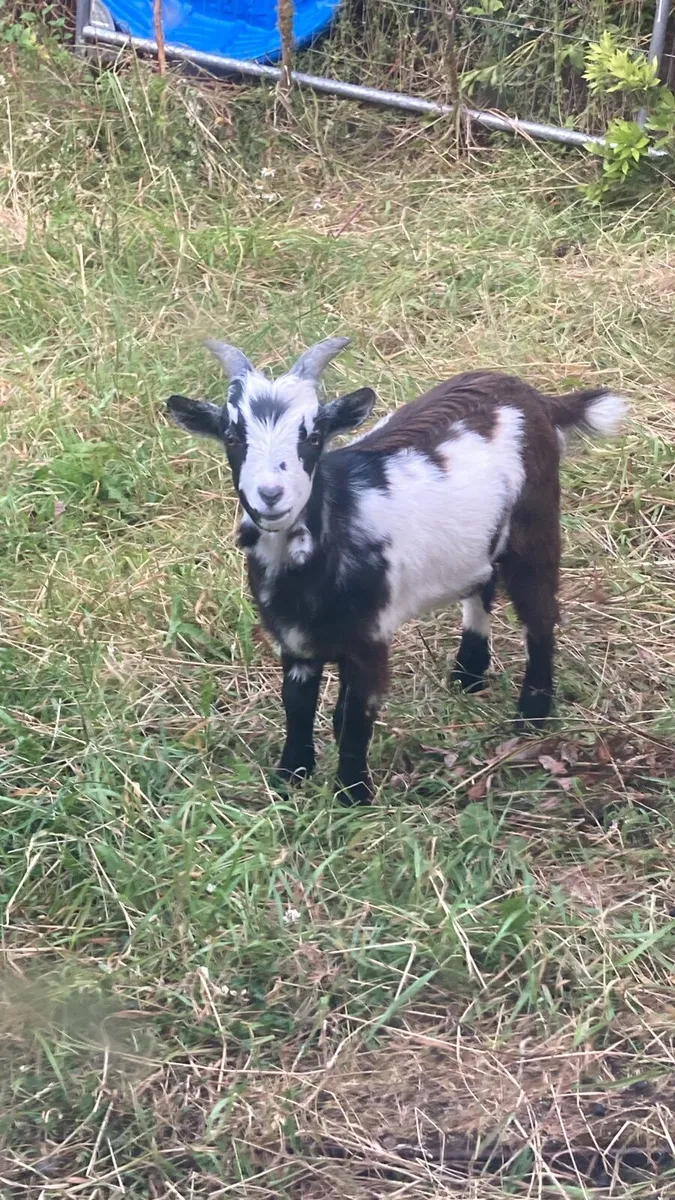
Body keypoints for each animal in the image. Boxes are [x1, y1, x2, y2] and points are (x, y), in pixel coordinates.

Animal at [166, 337, 627, 805]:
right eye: (231, 436)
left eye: (312, 436)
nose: (271, 494)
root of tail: (532, 396)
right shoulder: (294, 639)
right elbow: (297, 704)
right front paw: (290, 776)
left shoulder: (370, 637)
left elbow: (355, 715)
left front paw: (352, 794)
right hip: (482, 538)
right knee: (482, 583)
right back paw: (468, 674)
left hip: (534, 525)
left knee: (540, 613)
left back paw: (531, 716)